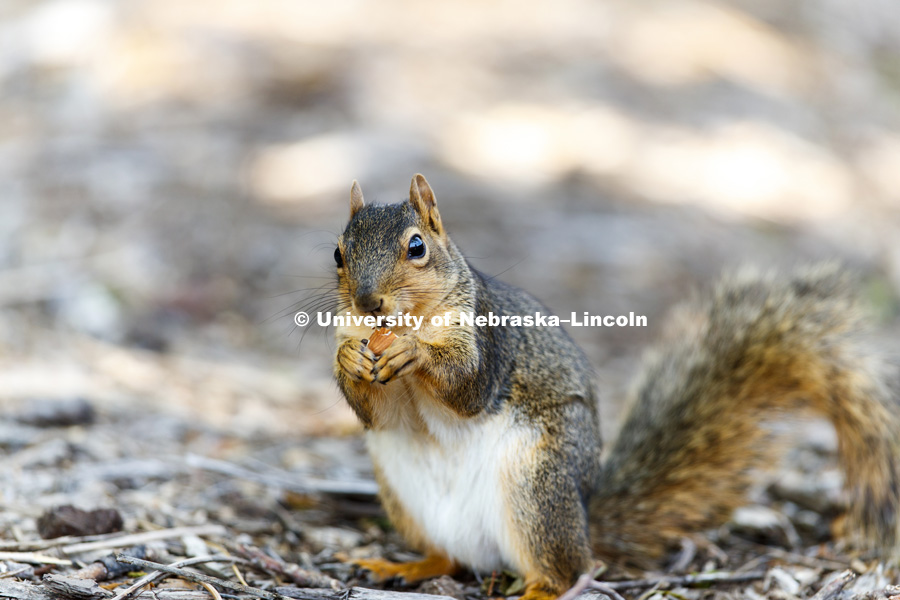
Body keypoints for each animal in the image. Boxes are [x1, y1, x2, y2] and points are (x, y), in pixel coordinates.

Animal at [330, 173, 900, 600]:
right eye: (338, 253)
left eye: (417, 247)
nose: (367, 302)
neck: (406, 322)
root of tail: (585, 519)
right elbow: (374, 411)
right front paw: (347, 359)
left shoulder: (488, 342)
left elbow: (466, 387)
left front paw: (414, 352)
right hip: (402, 492)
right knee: (447, 559)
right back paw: (402, 568)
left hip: (538, 486)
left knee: (571, 570)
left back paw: (539, 589)